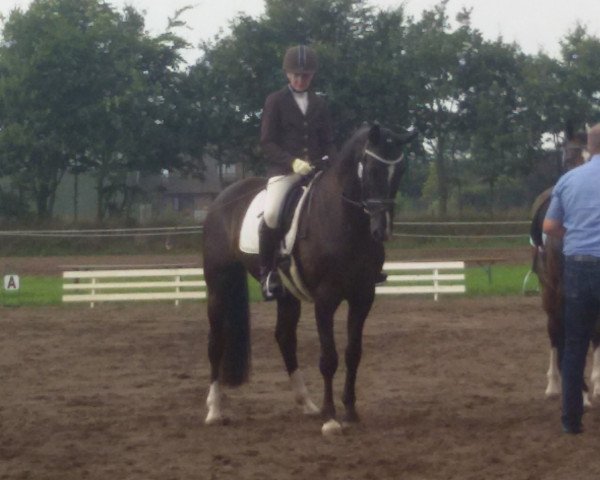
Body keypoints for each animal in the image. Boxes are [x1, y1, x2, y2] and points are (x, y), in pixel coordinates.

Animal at [202, 124, 418, 432]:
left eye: (399, 171)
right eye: (372, 169)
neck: (345, 221)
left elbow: (353, 353)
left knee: (284, 338)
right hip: (219, 285)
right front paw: (331, 418)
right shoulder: (325, 299)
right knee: (216, 340)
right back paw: (214, 410)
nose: (382, 230)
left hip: (287, 294)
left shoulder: (363, 296)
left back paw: (306, 403)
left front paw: (350, 410)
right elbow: (329, 357)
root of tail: (222, 199)